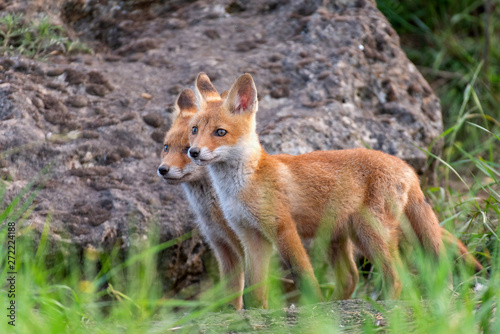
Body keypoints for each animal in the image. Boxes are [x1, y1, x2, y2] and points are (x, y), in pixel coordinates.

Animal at [188, 72, 484, 306]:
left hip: (370, 232)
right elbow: (253, 290)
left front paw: (315, 310)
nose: (193, 152)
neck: (241, 187)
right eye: (194, 130)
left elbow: (303, 275)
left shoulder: (282, 228)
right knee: (354, 276)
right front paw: (254, 315)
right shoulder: (250, 237)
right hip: (348, 235)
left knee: (396, 276)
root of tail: (407, 168)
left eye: (220, 132)